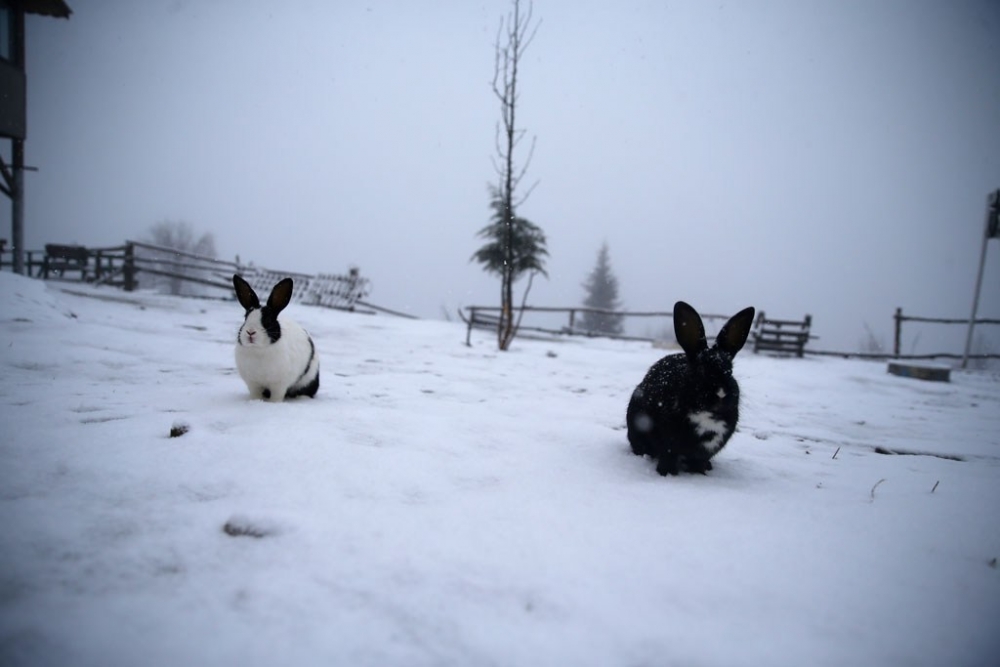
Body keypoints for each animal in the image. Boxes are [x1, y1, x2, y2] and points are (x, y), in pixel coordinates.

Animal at [628, 300, 752, 478]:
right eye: (700, 370)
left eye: (730, 371)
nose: (721, 393)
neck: (707, 414)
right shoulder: (669, 443)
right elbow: (668, 457)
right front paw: (667, 473)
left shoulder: (705, 451)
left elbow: (698, 461)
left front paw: (700, 473)